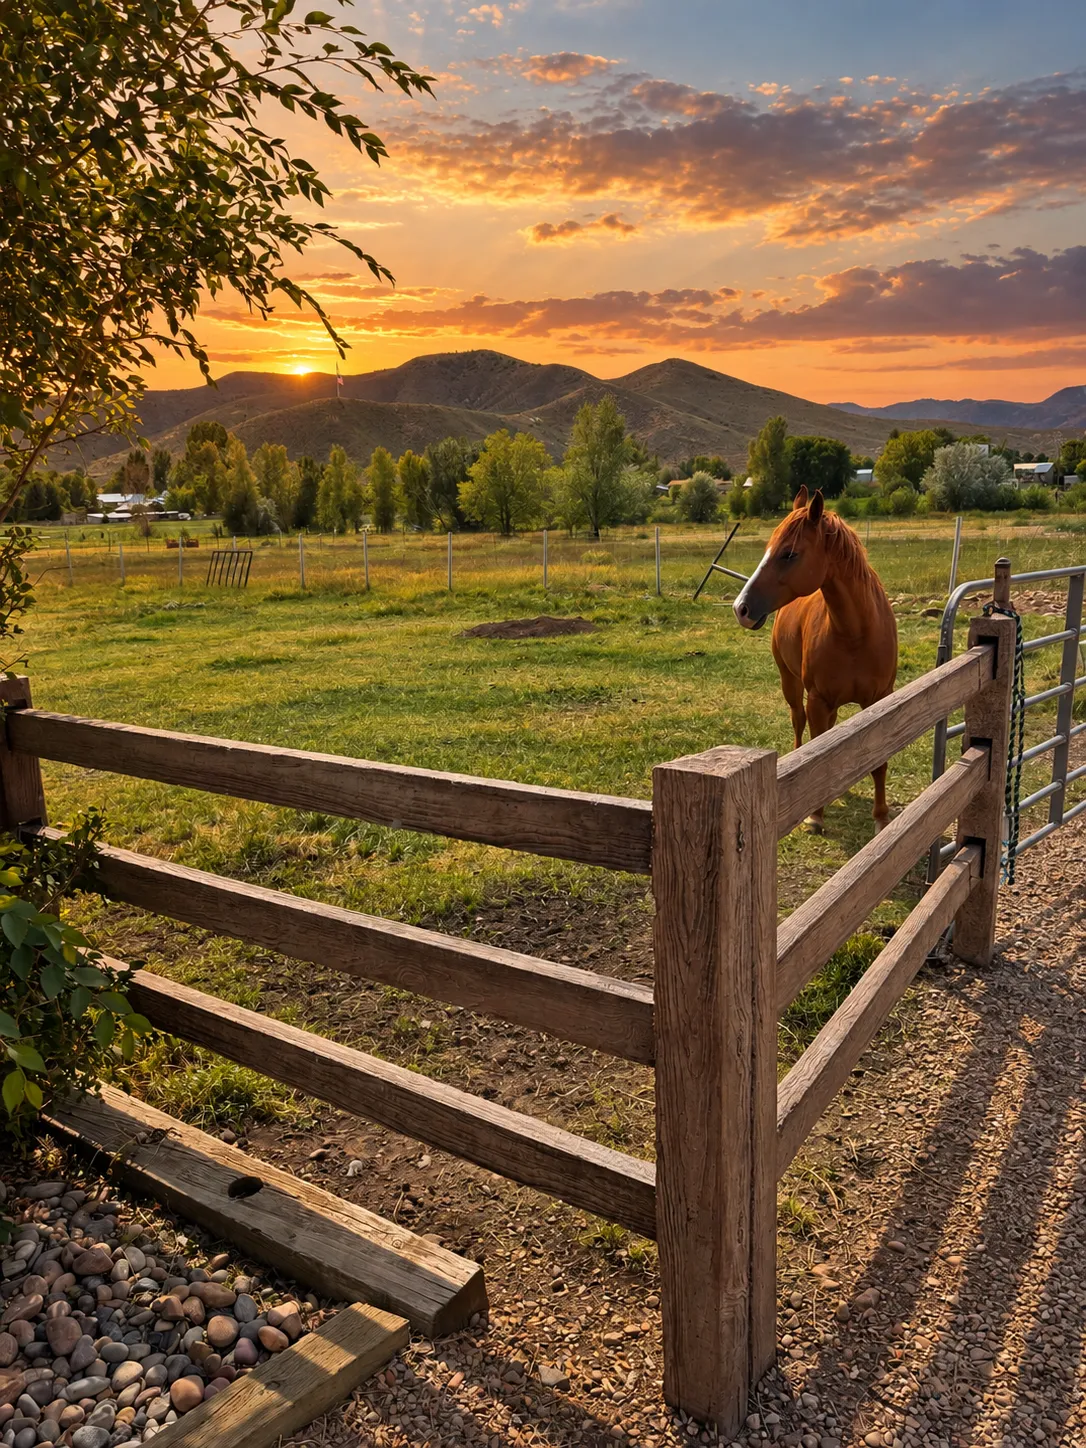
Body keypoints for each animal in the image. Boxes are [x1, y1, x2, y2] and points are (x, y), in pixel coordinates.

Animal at [732, 487, 898, 832]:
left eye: (788, 554)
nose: (741, 608)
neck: (855, 633)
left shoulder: (878, 699)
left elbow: (878, 761)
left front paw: (881, 817)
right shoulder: (817, 699)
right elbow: (817, 748)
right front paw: (815, 815)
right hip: (792, 685)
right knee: (799, 724)